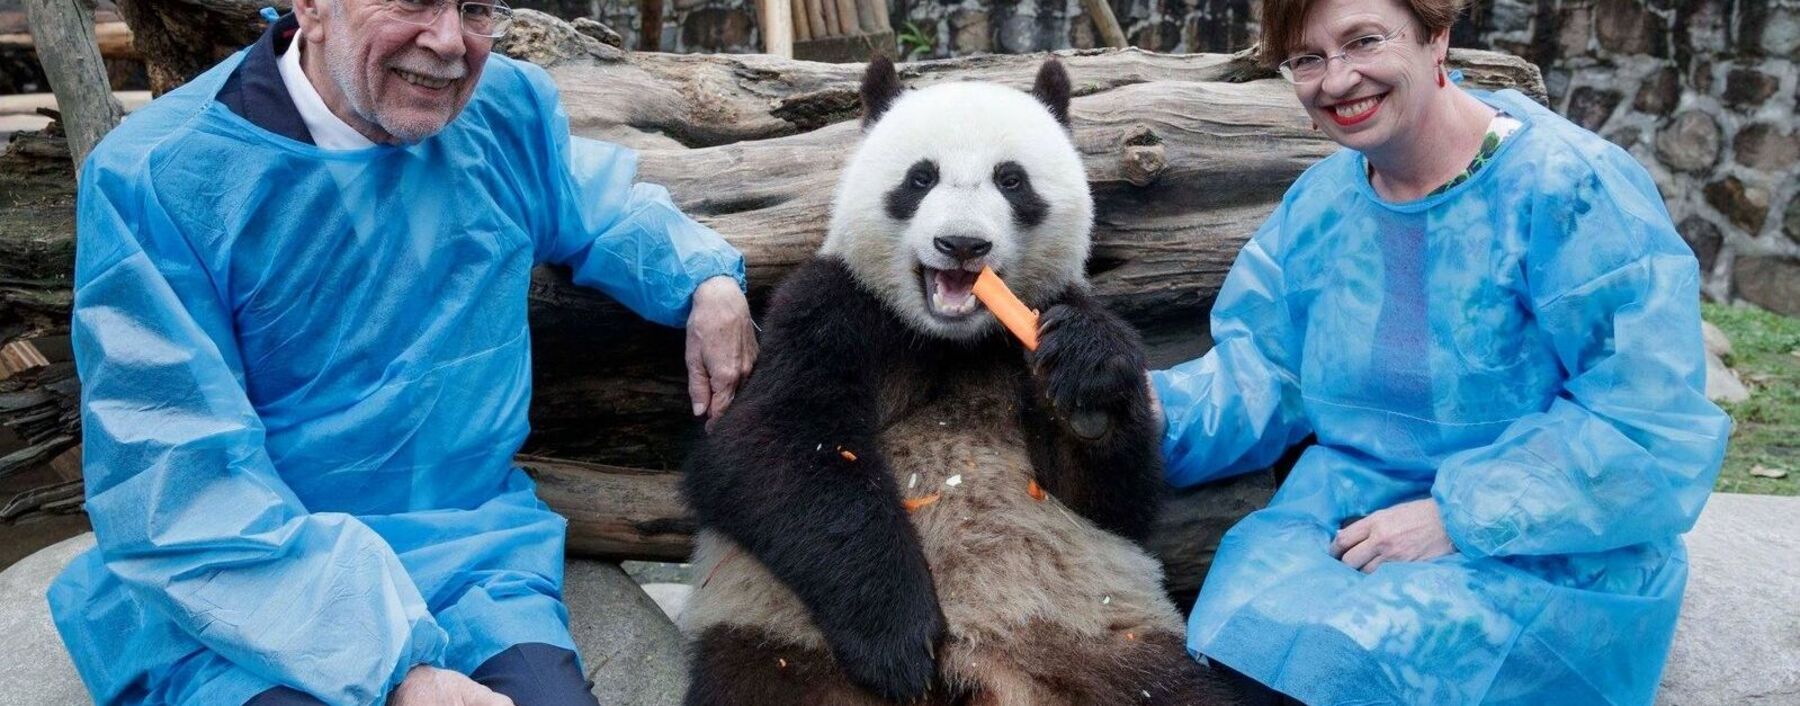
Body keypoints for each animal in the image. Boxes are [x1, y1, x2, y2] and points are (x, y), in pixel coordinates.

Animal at [678, 56, 1239, 706]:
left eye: (1012, 181)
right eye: (921, 178)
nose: (963, 244)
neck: (953, 339)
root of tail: (978, 674)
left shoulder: (1036, 325)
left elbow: (1115, 503)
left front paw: (1087, 379)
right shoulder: (829, 309)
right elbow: (770, 444)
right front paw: (898, 638)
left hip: (1101, 642)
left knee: (1174, 687)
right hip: (781, 648)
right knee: (759, 680)